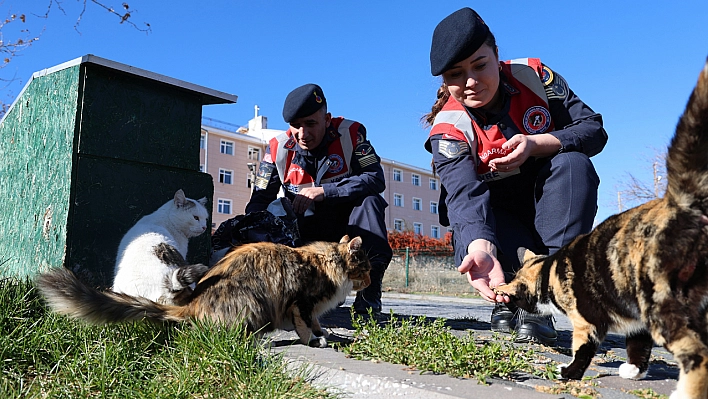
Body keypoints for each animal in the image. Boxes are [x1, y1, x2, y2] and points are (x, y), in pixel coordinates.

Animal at [37, 236, 370, 348]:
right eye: (366, 267)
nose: (369, 281)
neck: (327, 262)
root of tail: (191, 304)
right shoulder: (301, 302)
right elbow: (306, 325)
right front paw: (314, 340)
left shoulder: (308, 307)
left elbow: (317, 323)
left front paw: (322, 336)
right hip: (254, 303)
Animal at [492, 57, 708, 398]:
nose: (506, 301)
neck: (548, 271)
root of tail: (683, 205)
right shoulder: (634, 319)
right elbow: (638, 345)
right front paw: (633, 370)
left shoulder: (586, 322)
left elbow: (583, 350)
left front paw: (568, 373)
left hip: (663, 303)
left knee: (697, 352)